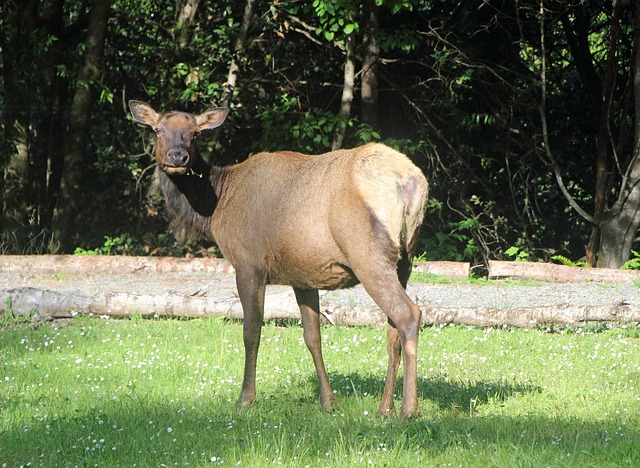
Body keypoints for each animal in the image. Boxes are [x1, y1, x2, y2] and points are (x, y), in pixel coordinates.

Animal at [129, 100, 430, 418]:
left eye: (195, 132)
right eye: (158, 129)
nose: (177, 156)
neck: (215, 205)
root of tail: (409, 182)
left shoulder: (248, 263)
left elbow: (251, 332)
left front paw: (245, 399)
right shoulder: (304, 275)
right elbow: (313, 336)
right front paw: (329, 402)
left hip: (367, 253)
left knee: (408, 314)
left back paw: (409, 409)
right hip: (405, 259)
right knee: (391, 330)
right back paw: (384, 408)